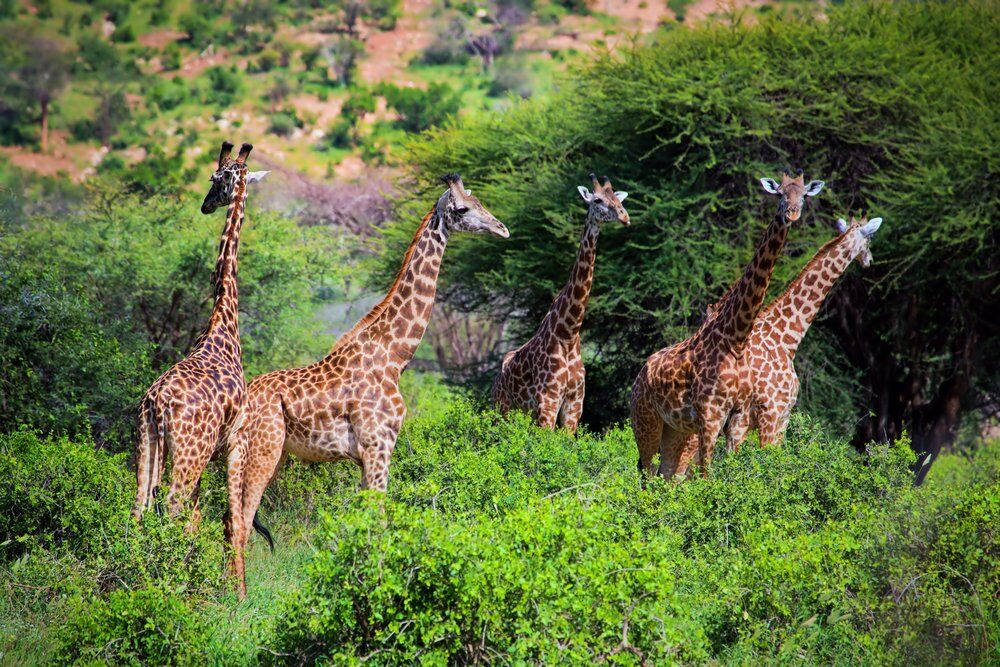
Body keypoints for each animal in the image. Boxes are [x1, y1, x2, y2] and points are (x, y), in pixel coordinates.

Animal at [133, 140, 268, 548]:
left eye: (216, 180)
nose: (206, 205)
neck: (223, 322)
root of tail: (157, 404)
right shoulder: (234, 440)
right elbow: (227, 518)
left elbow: (199, 518)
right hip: (190, 453)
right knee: (172, 507)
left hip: (148, 444)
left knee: (139, 508)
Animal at [228, 175, 508, 596]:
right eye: (462, 209)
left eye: (479, 201)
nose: (502, 229)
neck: (394, 356)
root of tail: (242, 403)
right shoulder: (380, 445)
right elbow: (378, 520)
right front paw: (376, 591)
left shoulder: (365, 455)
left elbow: (364, 522)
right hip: (263, 451)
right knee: (242, 521)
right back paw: (241, 598)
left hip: (251, 455)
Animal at [490, 174, 628, 434]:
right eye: (597, 200)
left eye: (618, 199)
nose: (625, 217)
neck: (568, 333)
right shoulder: (548, 400)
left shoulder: (575, 404)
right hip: (501, 408)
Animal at [628, 170, 824, 478]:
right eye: (780, 194)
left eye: (803, 195)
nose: (791, 214)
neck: (735, 338)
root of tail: (638, 377)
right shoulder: (711, 415)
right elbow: (708, 475)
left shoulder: (738, 416)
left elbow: (730, 471)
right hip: (646, 420)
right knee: (647, 472)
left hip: (675, 428)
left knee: (666, 473)